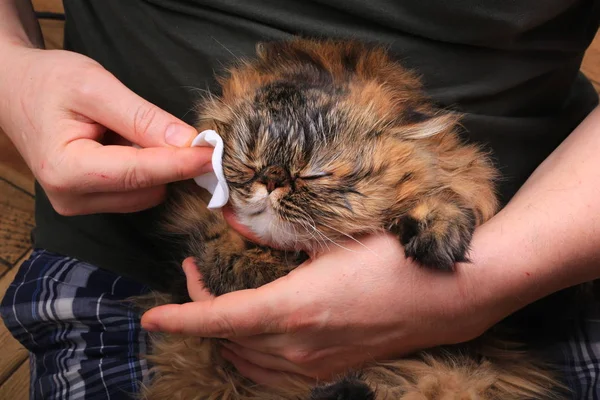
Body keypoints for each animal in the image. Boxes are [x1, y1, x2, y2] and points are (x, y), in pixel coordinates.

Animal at [139, 39, 568, 398]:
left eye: (314, 174)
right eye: (249, 162)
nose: (272, 179)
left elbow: (443, 196)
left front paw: (438, 234)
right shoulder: (214, 253)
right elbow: (228, 255)